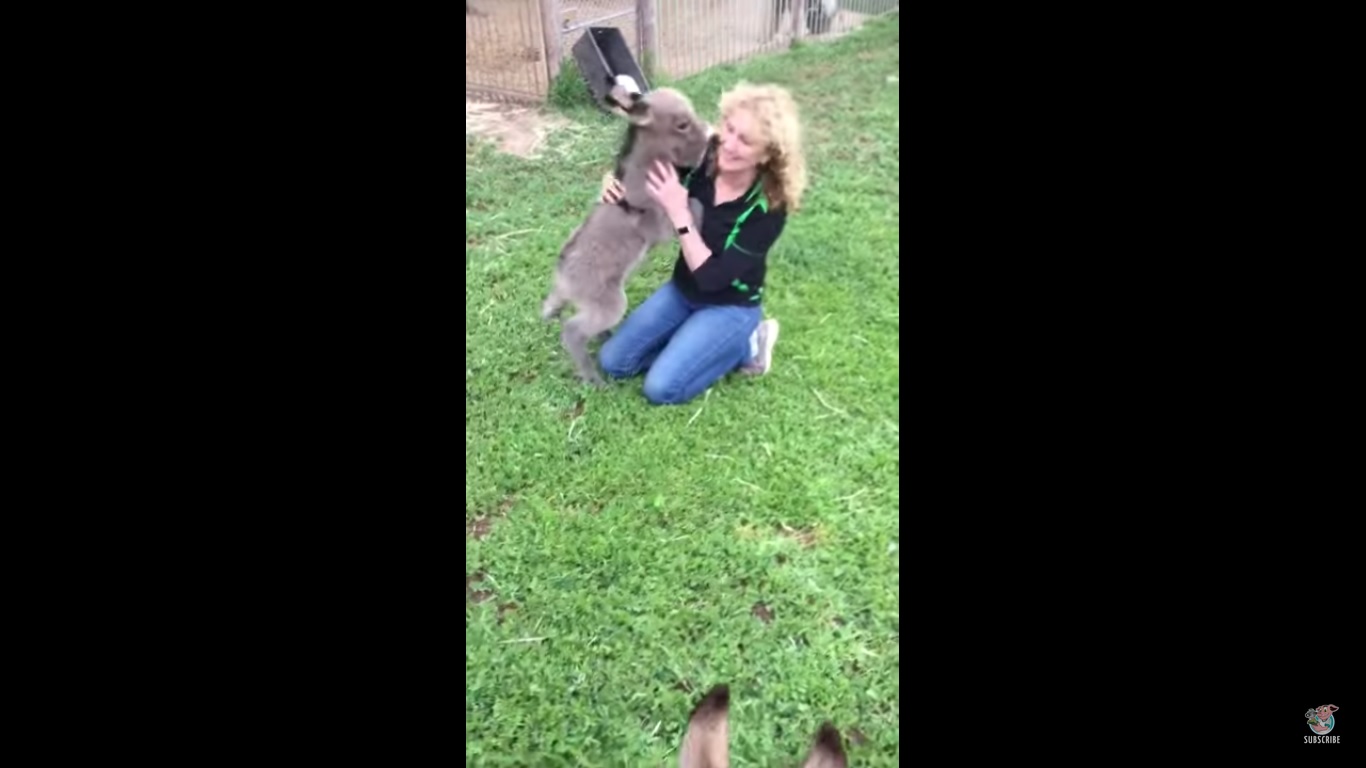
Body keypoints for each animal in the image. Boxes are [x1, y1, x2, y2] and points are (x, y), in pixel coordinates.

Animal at [543, 85, 715, 382]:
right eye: (682, 124)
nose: (712, 135)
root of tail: (564, 271)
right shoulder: (662, 225)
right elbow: (693, 204)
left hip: (580, 298)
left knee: (557, 306)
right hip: (609, 304)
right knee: (573, 331)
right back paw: (593, 379)